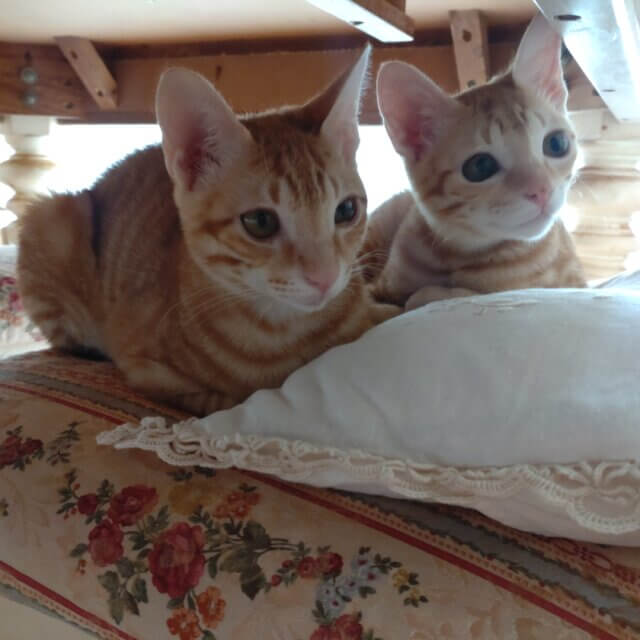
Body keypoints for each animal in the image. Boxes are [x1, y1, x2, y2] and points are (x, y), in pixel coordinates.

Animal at [17, 47, 398, 416]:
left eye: (346, 210)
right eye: (260, 222)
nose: (325, 277)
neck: (287, 332)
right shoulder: (146, 370)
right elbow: (230, 398)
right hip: (51, 221)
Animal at [363, 14, 586, 310]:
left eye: (556, 144)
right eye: (480, 167)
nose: (542, 190)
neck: (456, 254)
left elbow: (437, 296)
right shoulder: (377, 288)